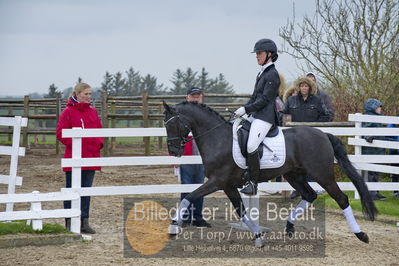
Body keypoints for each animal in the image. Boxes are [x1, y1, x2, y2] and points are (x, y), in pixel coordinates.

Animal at [163, 101, 378, 246]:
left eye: (171, 124)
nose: (173, 151)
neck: (217, 139)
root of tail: (323, 134)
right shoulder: (228, 185)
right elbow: (241, 211)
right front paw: (258, 236)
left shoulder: (218, 181)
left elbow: (189, 197)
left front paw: (173, 227)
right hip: (294, 175)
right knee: (310, 195)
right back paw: (289, 227)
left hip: (322, 175)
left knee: (341, 198)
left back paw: (361, 235)